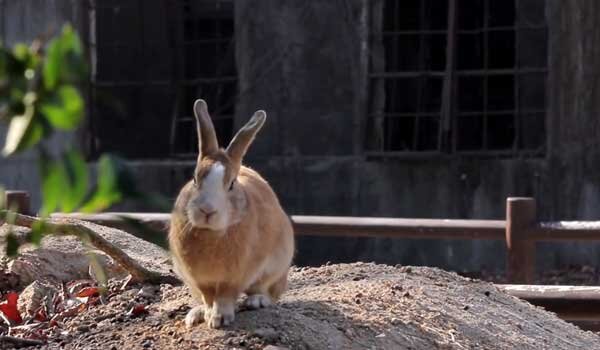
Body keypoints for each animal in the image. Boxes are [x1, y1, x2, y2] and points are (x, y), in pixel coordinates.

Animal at [169, 98, 296, 328]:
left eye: (231, 184)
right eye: (194, 179)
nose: (207, 210)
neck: (211, 233)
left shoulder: (237, 276)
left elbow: (226, 296)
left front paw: (220, 319)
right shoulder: (200, 280)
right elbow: (208, 297)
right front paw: (208, 315)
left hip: (278, 265)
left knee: (269, 292)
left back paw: (256, 301)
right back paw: (196, 314)